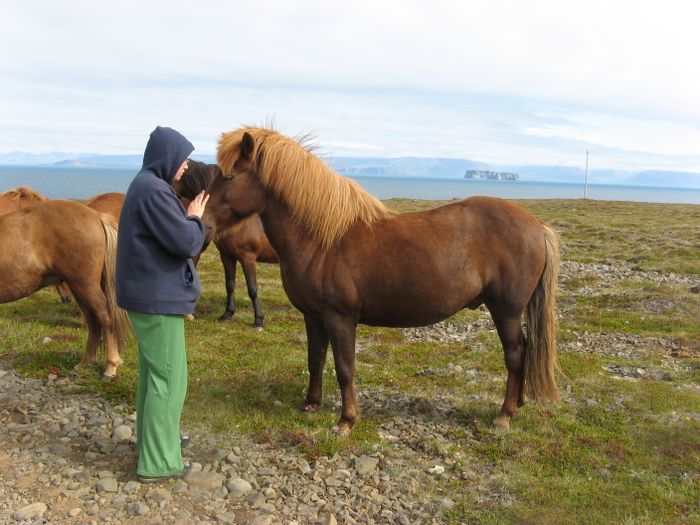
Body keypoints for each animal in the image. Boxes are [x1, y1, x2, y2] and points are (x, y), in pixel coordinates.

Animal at [0, 200, 131, 376]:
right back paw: (85, 363)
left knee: (106, 319)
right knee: (93, 322)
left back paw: (110, 367)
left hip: (85, 286)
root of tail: (97, 216)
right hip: (79, 289)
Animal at [175, 158, 278, 326]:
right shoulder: (227, 256)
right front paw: (228, 314)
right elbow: (230, 284)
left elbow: (252, 288)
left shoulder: (247, 257)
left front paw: (258, 320)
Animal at [205, 127, 560, 434]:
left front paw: (346, 420)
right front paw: (311, 403)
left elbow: (344, 367)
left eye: (229, 176)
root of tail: (537, 226)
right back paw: (518, 404)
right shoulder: (313, 316)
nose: (204, 225)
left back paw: (504, 415)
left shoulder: (339, 318)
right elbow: (315, 359)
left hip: (506, 311)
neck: (322, 239)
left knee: (515, 354)